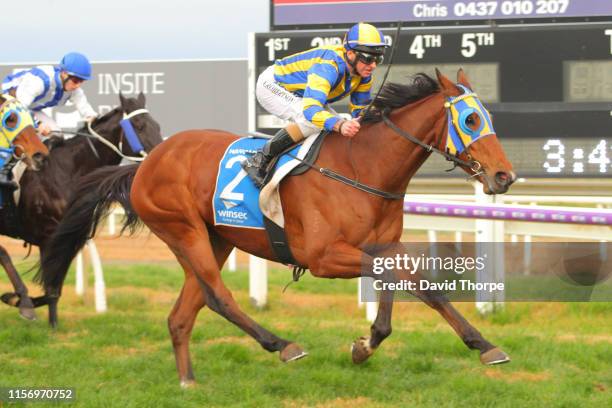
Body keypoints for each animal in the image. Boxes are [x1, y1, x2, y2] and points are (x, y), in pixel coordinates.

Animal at [0, 93, 163, 322]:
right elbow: (51, 288)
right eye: (139, 126)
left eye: (157, 125)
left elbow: (54, 290)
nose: (160, 158)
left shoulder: (69, 239)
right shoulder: (48, 236)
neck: (67, 171)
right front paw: (23, 304)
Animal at [40, 70, 512, 386]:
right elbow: (398, 278)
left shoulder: (383, 245)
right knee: (218, 297)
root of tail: (146, 164)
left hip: (215, 238)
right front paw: (368, 343)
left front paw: (477, 345)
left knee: (182, 314)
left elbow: (418, 284)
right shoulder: (322, 257)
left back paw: (188, 380)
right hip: (183, 229)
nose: (504, 176)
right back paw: (282, 344)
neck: (363, 168)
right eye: (470, 121)